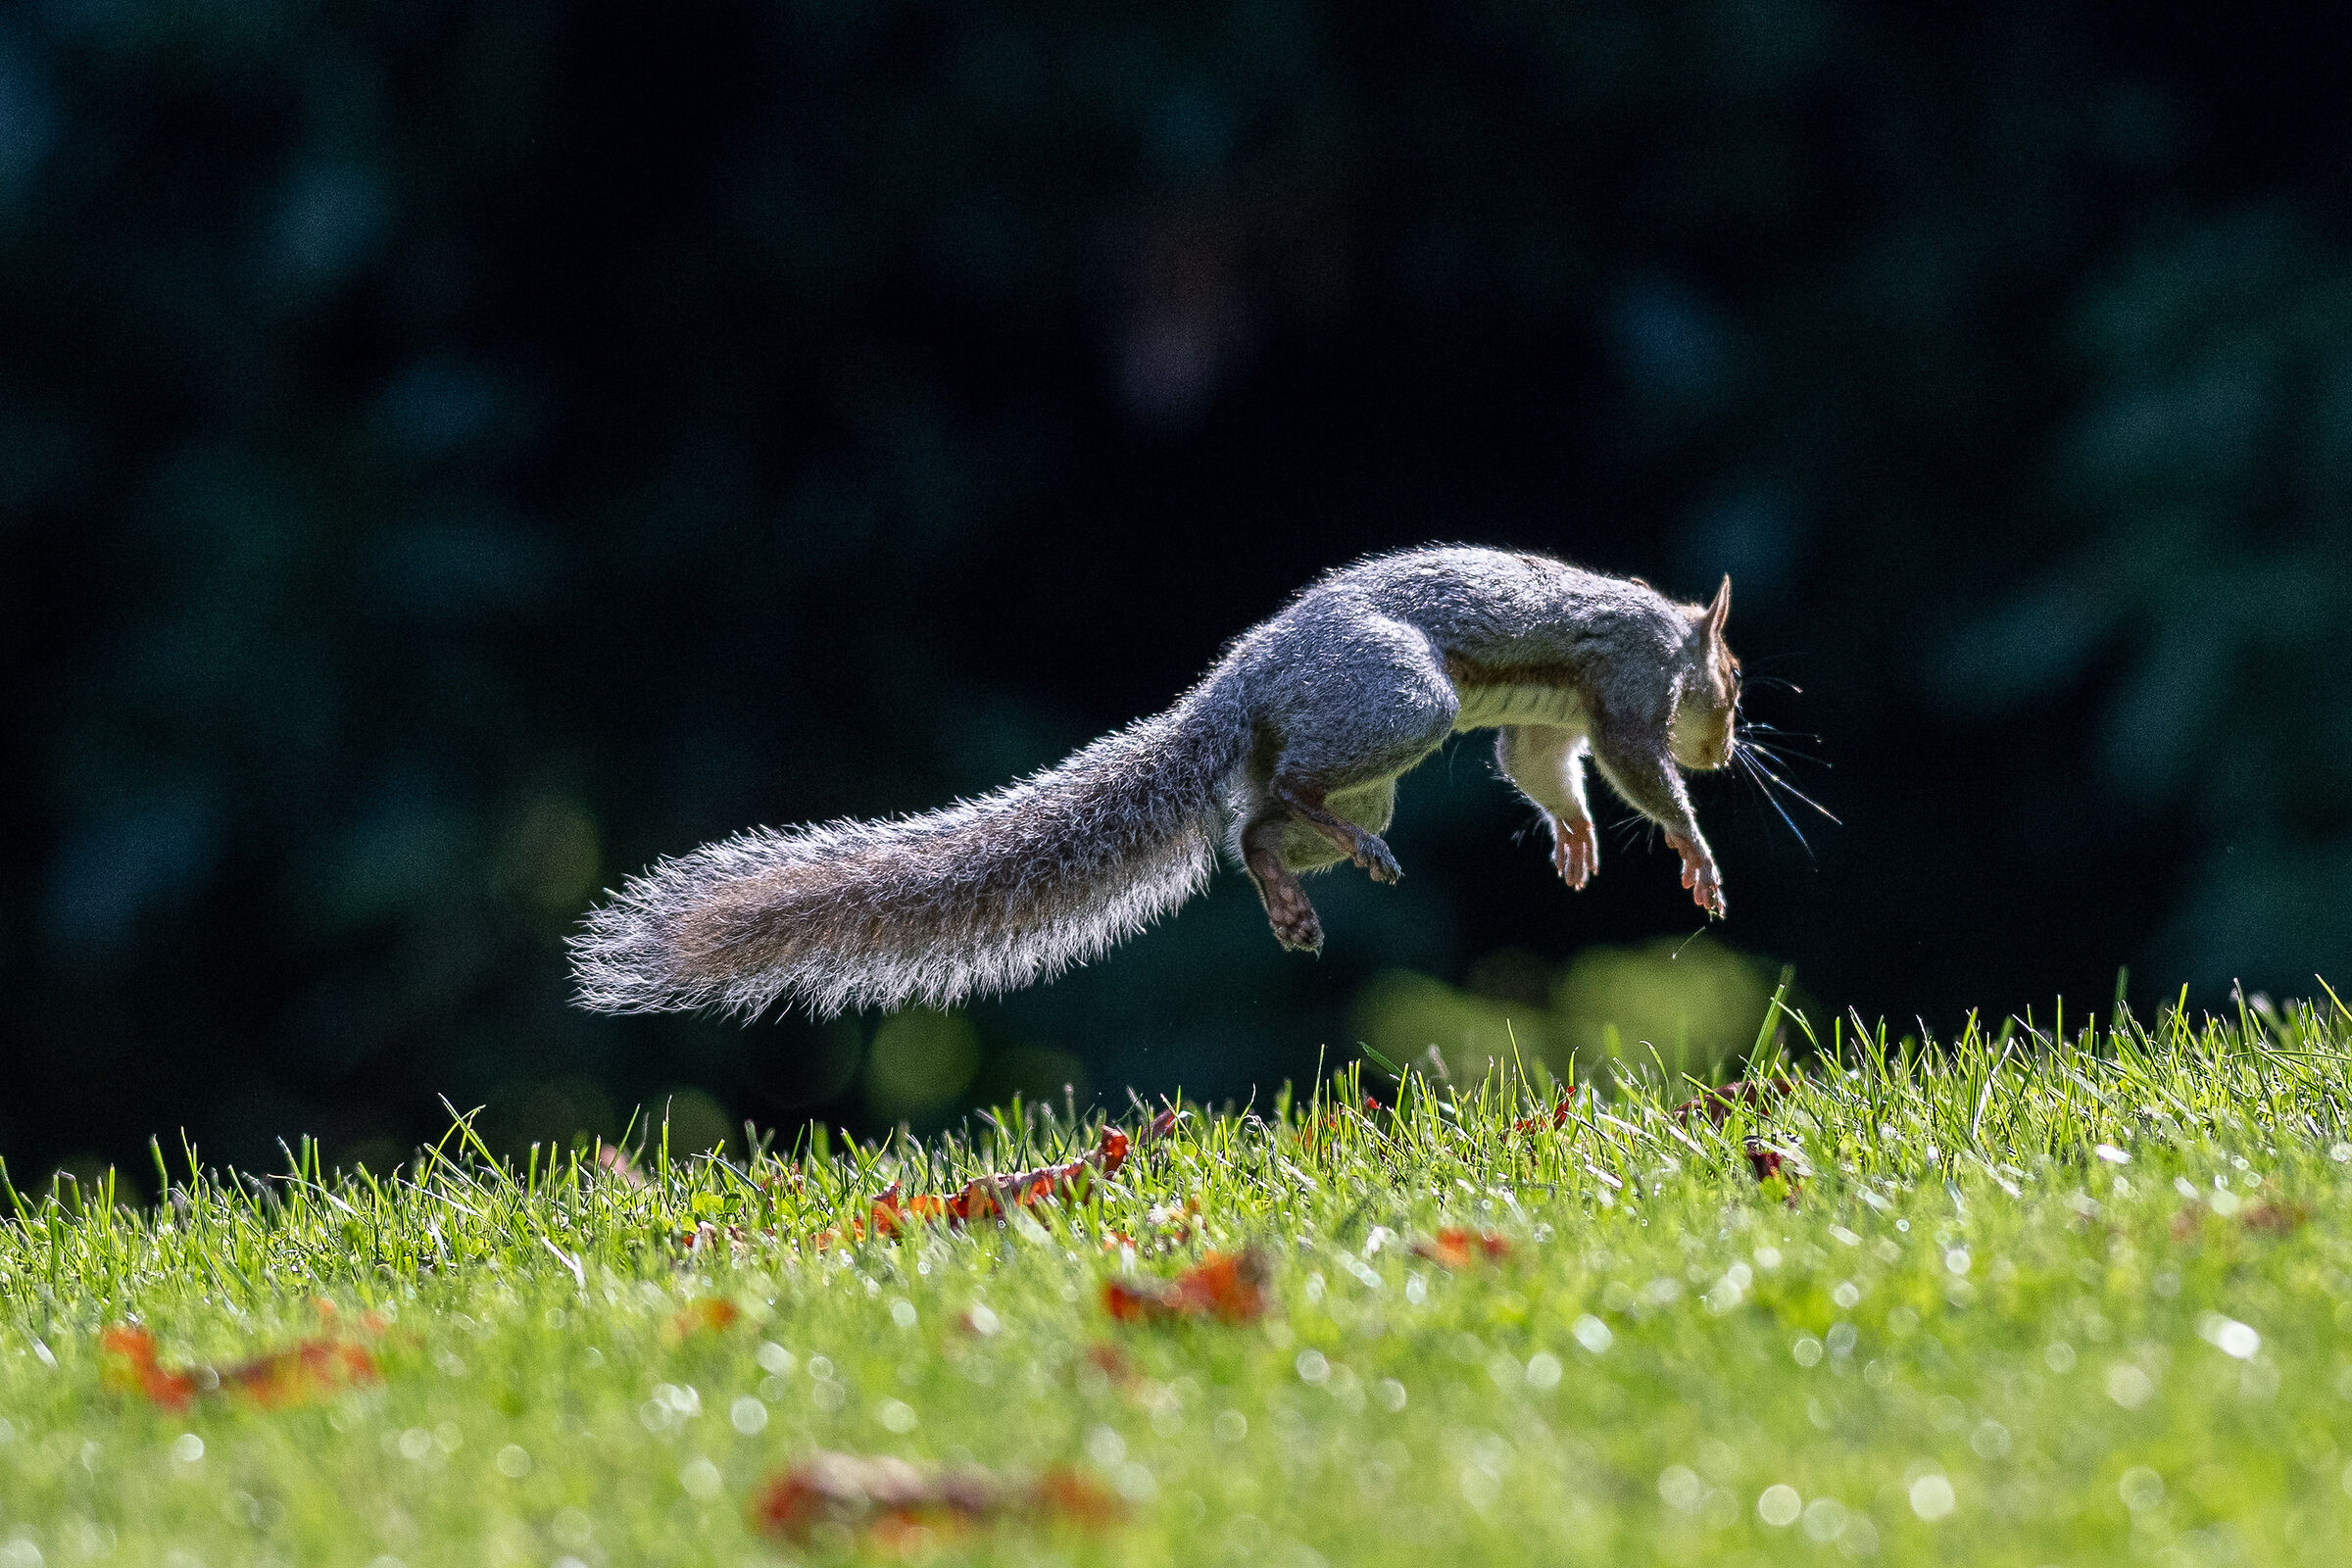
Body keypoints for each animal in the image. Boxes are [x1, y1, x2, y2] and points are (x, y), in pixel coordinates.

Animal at [571, 545, 1743, 1019]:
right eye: (1731, 681)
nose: (1727, 754)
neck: (1664, 630)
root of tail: (1242, 681)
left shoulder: (1553, 732)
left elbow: (1540, 768)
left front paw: (1576, 836)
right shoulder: (1628, 690)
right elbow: (1633, 768)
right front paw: (1694, 844)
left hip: (1365, 762)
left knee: (1254, 827)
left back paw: (1292, 895)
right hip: (1403, 704)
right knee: (1286, 799)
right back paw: (1334, 856)